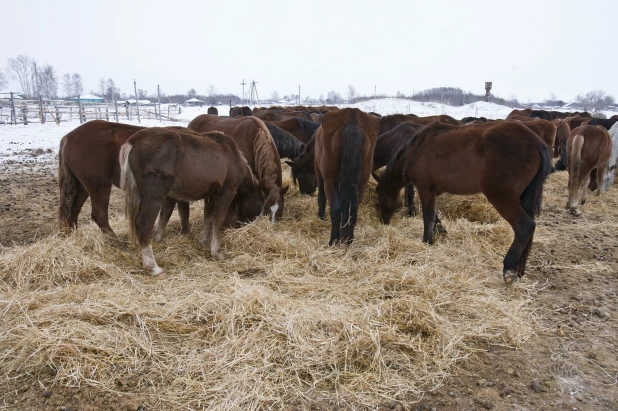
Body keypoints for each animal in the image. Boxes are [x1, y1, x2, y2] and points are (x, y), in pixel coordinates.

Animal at [120, 129, 258, 276]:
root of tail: (132, 142)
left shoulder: (210, 194)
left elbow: (207, 217)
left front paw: (204, 240)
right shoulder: (227, 192)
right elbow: (217, 219)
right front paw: (216, 252)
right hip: (154, 195)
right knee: (143, 223)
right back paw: (153, 267)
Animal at [316, 108, 378, 246]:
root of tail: (352, 120)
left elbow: (321, 197)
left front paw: (320, 216)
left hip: (330, 180)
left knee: (335, 208)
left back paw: (333, 240)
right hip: (362, 180)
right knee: (354, 208)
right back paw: (349, 239)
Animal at [370, 120, 548, 284]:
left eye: (378, 192)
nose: (384, 221)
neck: (416, 148)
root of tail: (536, 142)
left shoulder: (425, 188)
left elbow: (428, 216)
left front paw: (427, 241)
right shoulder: (434, 191)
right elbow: (434, 215)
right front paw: (440, 231)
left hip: (502, 197)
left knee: (525, 226)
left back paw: (509, 268)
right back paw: (519, 269)